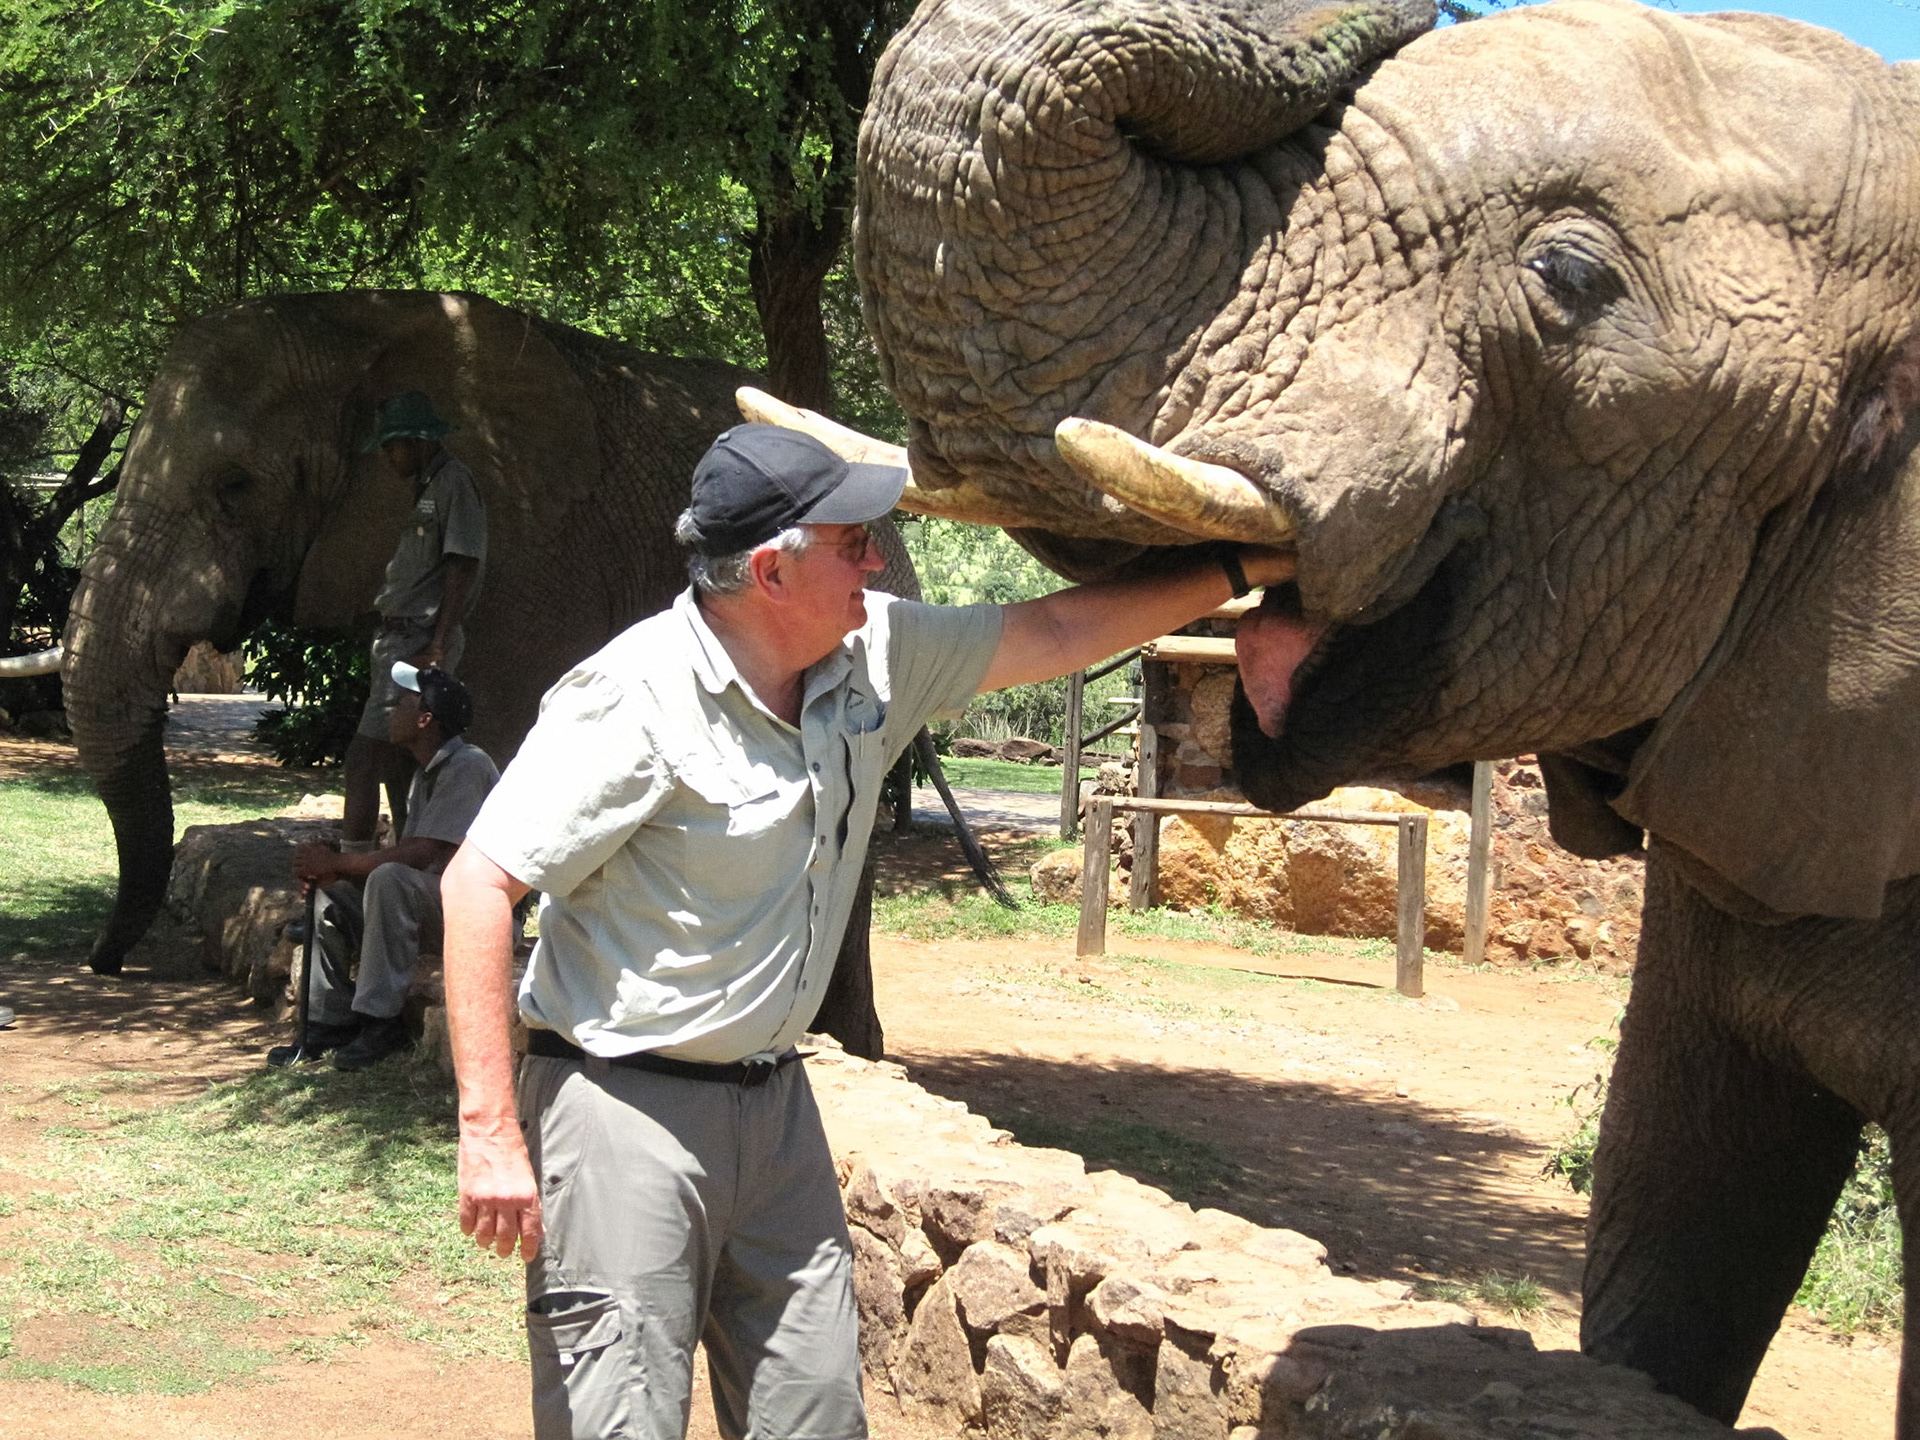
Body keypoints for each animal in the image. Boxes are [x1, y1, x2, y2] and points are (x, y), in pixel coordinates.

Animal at [60, 290, 920, 1056]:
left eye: (234, 487)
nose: (105, 963)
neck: (351, 323)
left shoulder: (519, 542)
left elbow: (502, 736)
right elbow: (396, 737)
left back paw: (847, 1042)